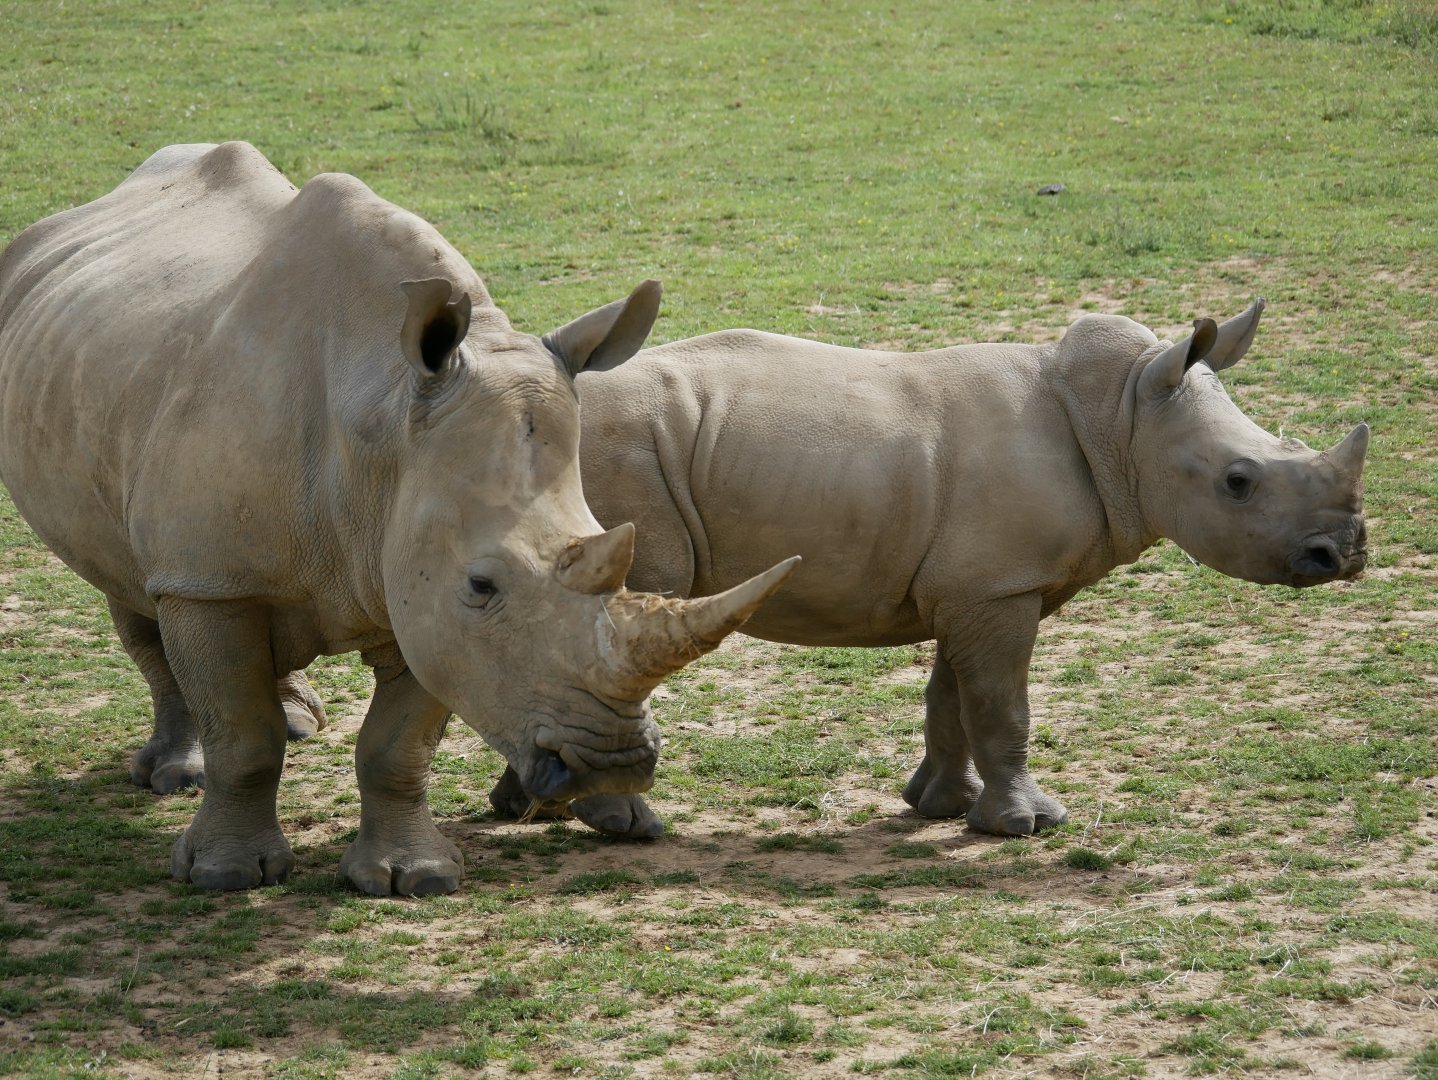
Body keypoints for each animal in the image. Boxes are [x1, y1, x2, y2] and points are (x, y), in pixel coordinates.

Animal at [0, 141, 797, 894]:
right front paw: (225, 875)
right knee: (129, 585)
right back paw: (179, 775)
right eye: (482, 585)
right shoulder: (211, 579)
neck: (381, 425)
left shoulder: (417, 579)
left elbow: (396, 746)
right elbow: (242, 733)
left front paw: (410, 877)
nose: (615, 764)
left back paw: (299, 721)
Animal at [573, 305, 1370, 837]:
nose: (1347, 554)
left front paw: (941, 806)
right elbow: (1001, 704)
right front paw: (1028, 824)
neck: (1121, 420)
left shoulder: (976, 585)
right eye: (1239, 482)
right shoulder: (998, 588)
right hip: (622, 455)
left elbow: (953, 697)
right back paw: (629, 827)